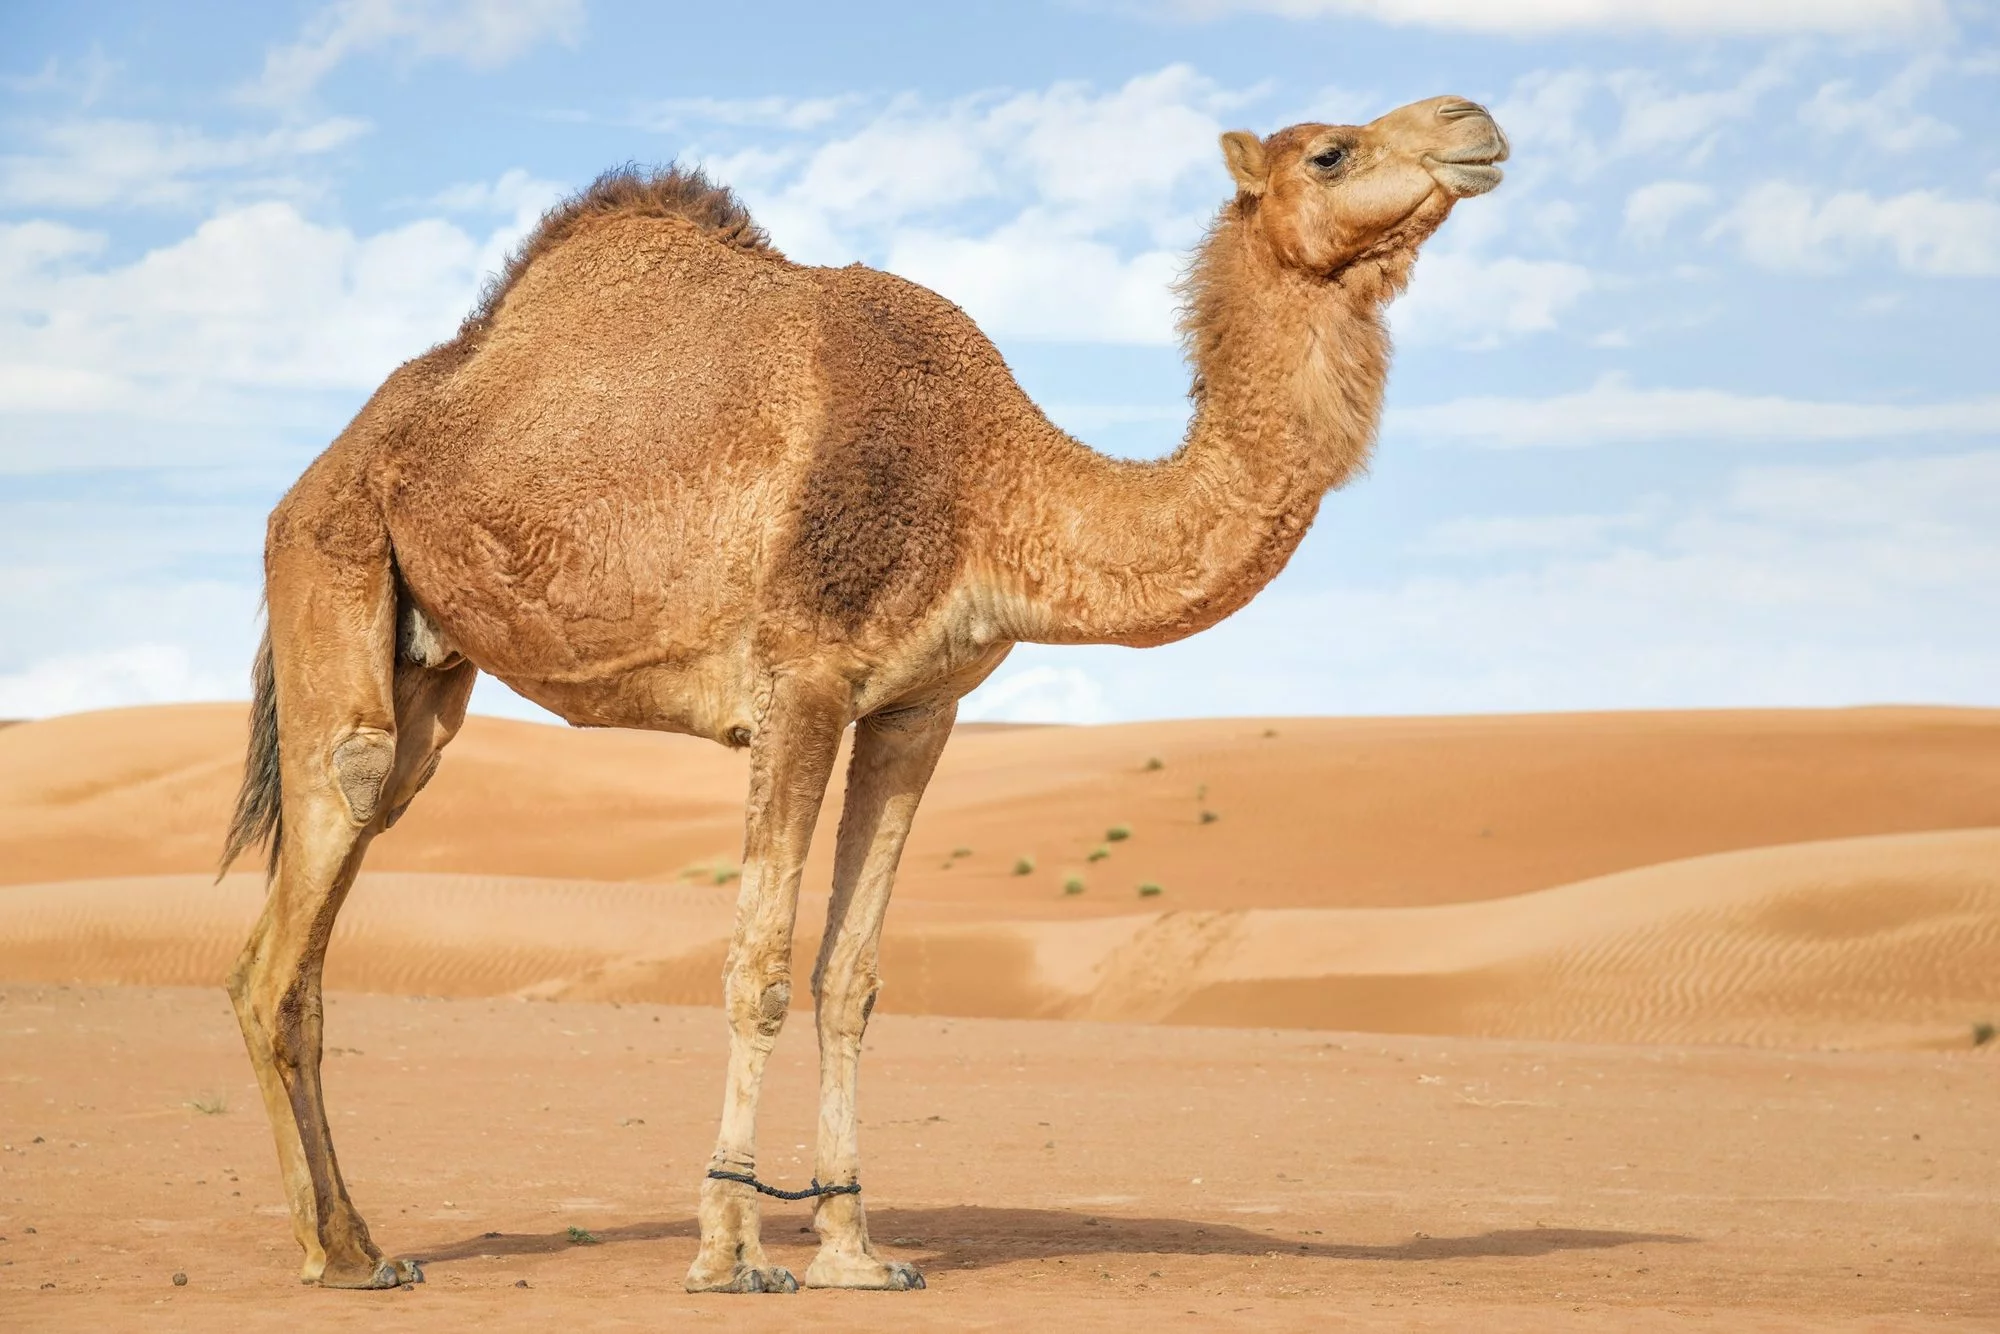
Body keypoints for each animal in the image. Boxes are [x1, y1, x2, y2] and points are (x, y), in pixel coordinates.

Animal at [217, 94, 1506, 1295]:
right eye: (1329, 152)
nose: (1474, 124)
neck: (988, 479)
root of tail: (316, 469)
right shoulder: (799, 678)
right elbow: (758, 969)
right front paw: (731, 1248)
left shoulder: (914, 706)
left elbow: (851, 979)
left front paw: (852, 1244)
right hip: (333, 560)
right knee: (316, 858)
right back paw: (344, 1252)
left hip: (427, 667)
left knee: (307, 927)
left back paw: (349, 1241)